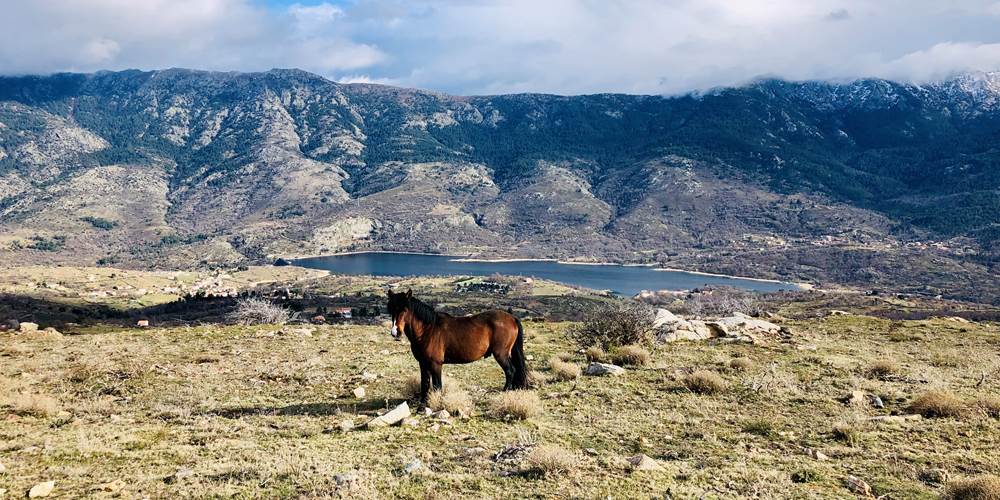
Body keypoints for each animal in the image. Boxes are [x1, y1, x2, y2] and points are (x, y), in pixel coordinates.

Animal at [386, 289, 528, 403]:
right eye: (391, 310)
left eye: (404, 309)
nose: (395, 332)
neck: (427, 330)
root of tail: (512, 318)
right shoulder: (423, 363)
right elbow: (425, 384)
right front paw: (422, 404)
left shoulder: (436, 364)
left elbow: (437, 385)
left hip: (501, 354)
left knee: (510, 371)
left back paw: (505, 391)